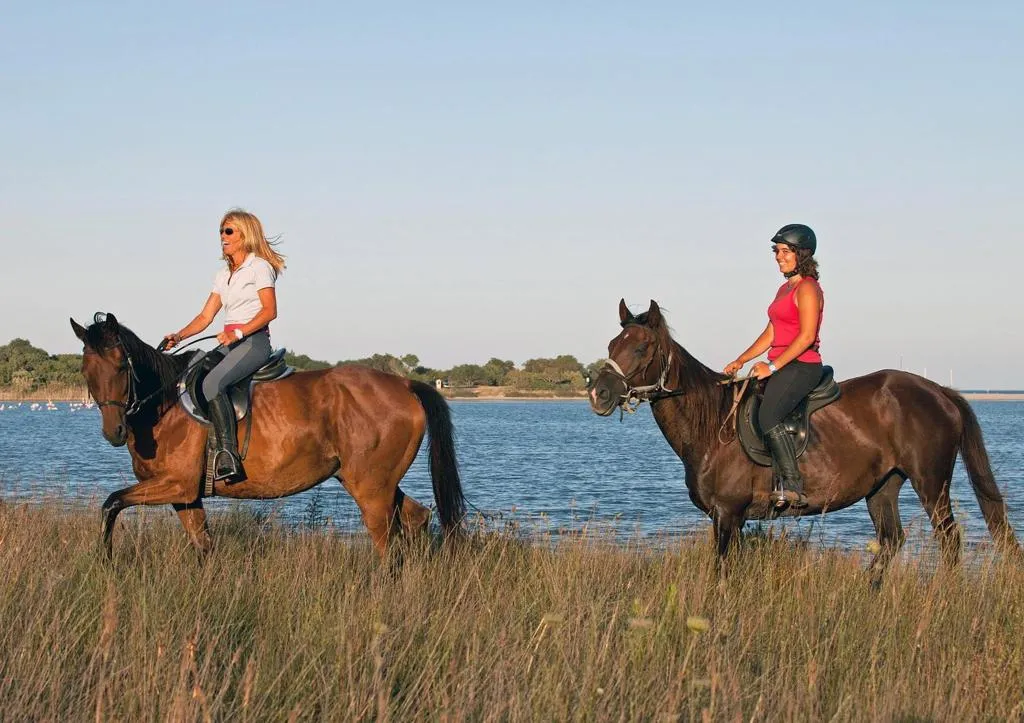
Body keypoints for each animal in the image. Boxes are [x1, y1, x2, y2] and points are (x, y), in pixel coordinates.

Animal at [70, 313, 466, 559]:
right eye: (87, 369)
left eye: (121, 365)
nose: (114, 432)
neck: (164, 406)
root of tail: (405, 384)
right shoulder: (187, 495)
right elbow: (203, 545)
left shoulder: (177, 484)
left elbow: (111, 503)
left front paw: (105, 559)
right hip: (374, 480)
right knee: (417, 518)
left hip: (370, 488)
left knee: (386, 542)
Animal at [588, 299, 1019, 582]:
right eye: (611, 347)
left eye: (641, 347)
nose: (598, 394)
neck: (712, 425)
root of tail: (939, 391)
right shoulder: (729, 519)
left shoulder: (727, 514)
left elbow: (722, 573)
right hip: (883, 487)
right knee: (891, 540)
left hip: (931, 484)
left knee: (949, 540)